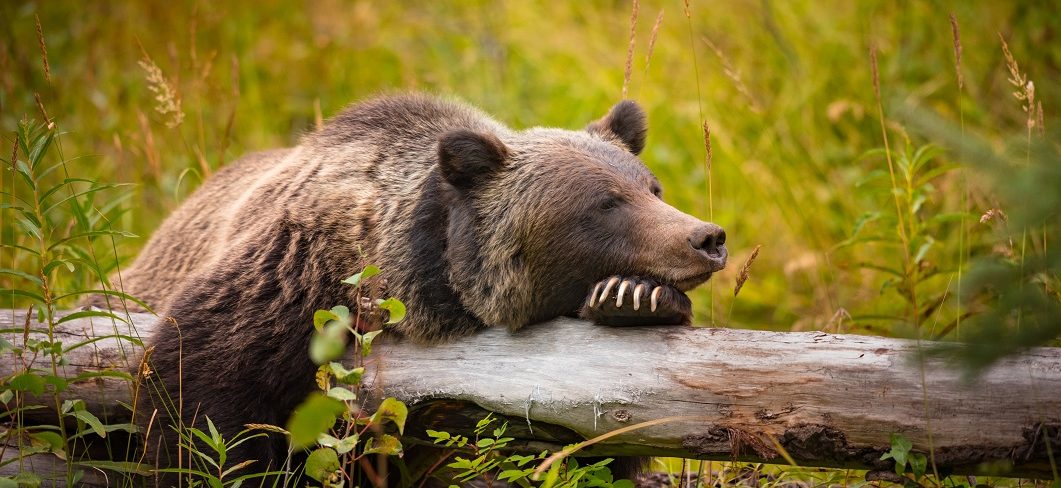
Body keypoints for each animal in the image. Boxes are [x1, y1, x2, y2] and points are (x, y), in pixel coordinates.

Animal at [103, 93, 725, 481]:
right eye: (605, 204)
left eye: (652, 188)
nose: (706, 237)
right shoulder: (293, 279)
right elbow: (200, 387)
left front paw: (634, 298)